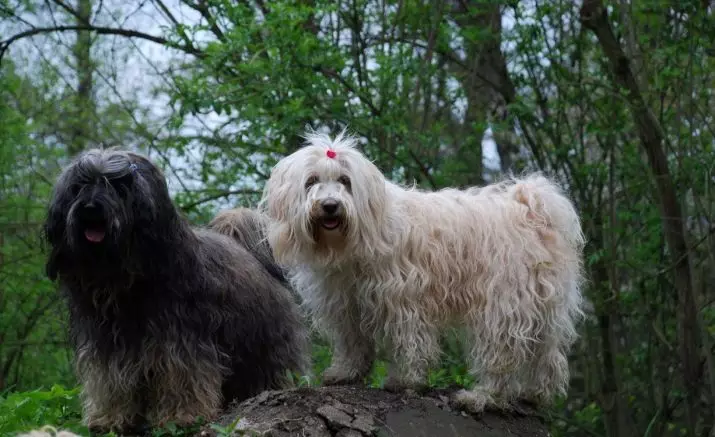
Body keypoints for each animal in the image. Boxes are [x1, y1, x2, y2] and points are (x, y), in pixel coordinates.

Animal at [44, 149, 310, 432]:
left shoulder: (182, 340)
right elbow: (109, 380)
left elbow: (182, 375)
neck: (124, 279)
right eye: (80, 185)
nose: (90, 207)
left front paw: (182, 416)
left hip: (265, 342)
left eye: (118, 186)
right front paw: (109, 419)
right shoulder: (106, 342)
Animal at [260, 131, 584, 410]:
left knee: (501, 353)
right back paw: (534, 394)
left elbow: (410, 341)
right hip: (543, 305)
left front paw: (406, 380)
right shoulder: (345, 303)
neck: (353, 241)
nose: (330, 205)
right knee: (548, 356)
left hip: (503, 303)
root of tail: (531, 211)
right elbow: (353, 341)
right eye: (311, 181)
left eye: (344, 180)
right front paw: (345, 372)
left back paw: (481, 396)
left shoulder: (403, 298)